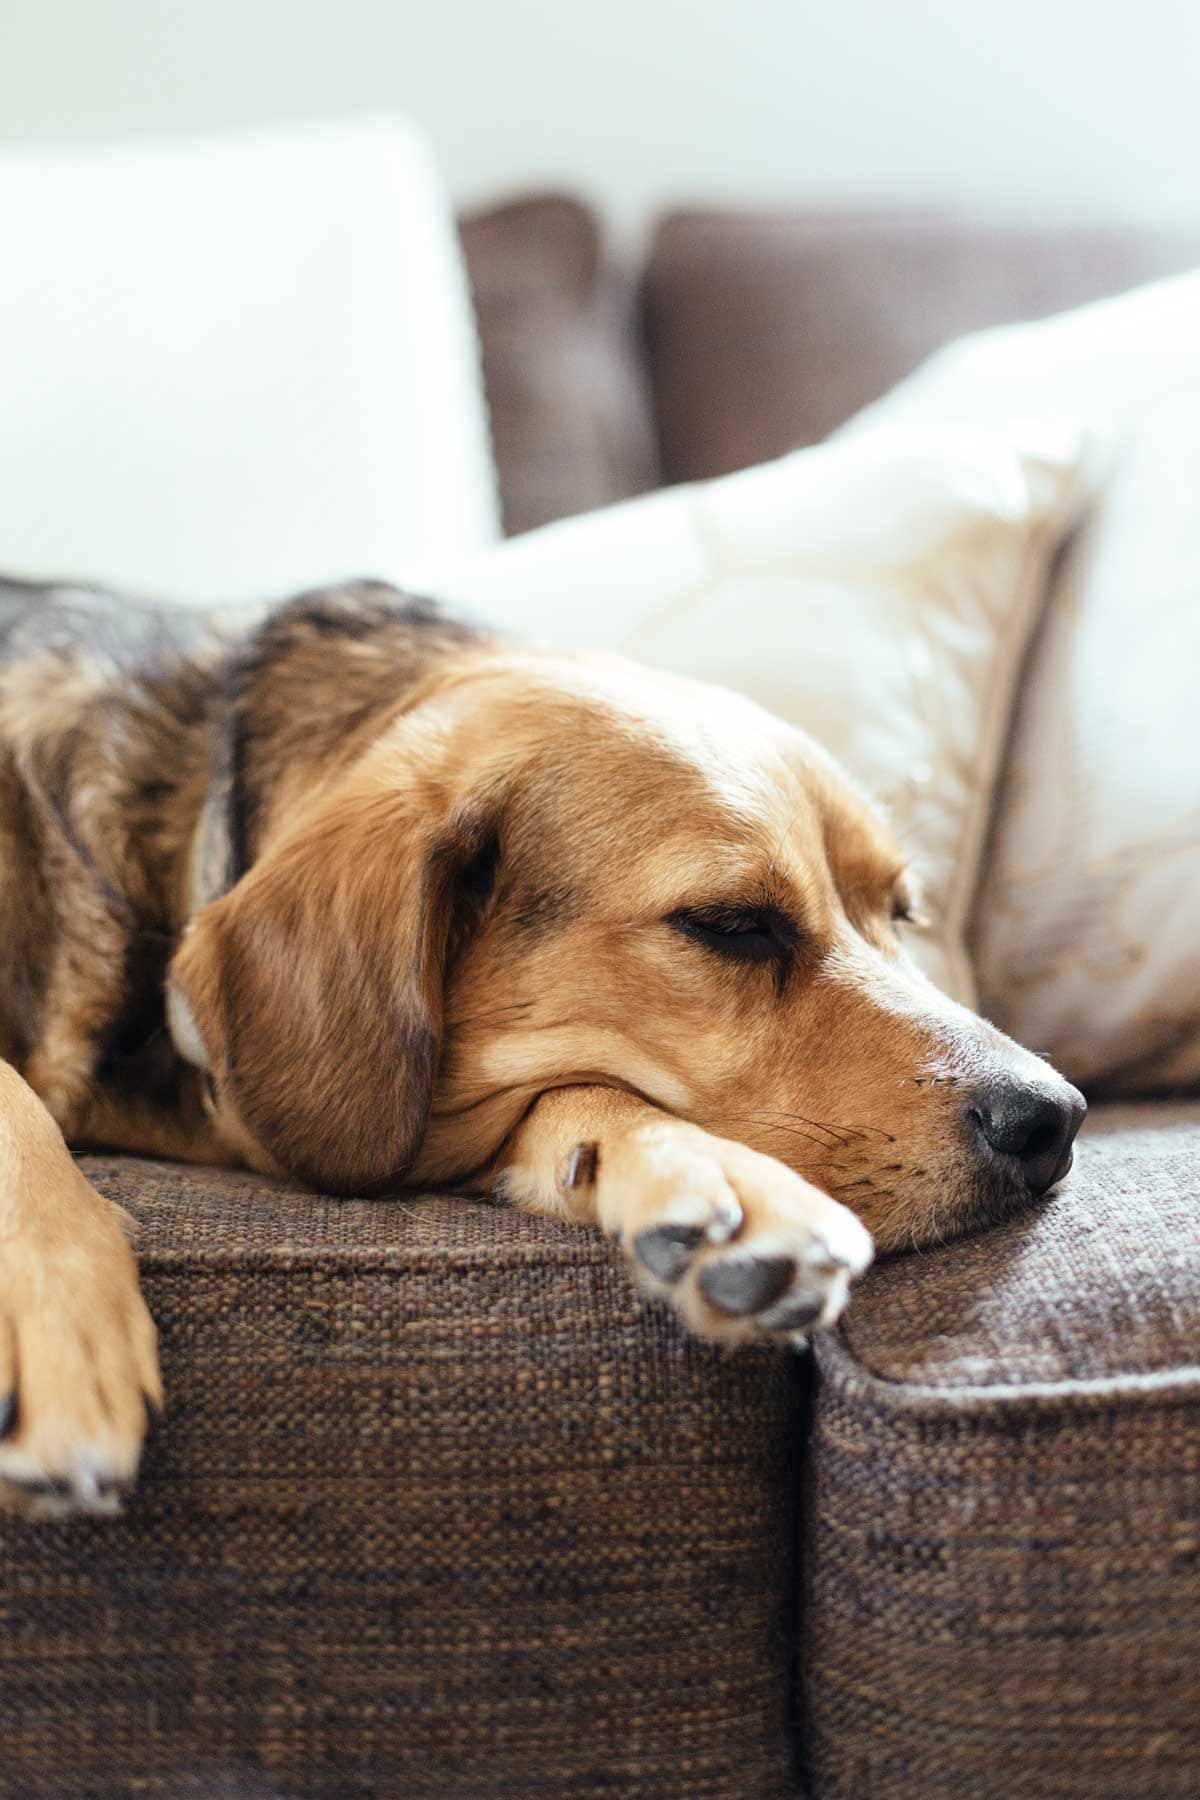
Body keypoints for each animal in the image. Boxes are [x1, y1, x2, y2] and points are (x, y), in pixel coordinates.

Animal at [0, 576, 1086, 1519]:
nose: (1056, 1119)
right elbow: (15, 1101)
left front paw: (698, 1174)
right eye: (732, 924)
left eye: (901, 913)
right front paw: (49, 1314)